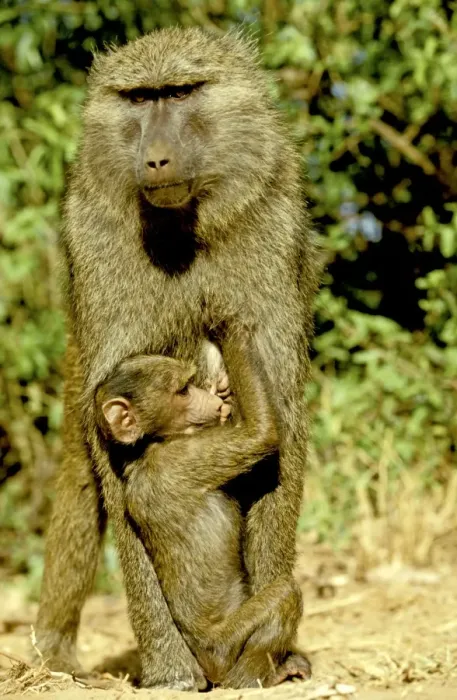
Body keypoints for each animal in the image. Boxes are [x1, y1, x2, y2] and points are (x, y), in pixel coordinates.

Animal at [95, 331, 311, 687]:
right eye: (183, 390)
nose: (212, 401)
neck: (149, 446)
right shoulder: (184, 458)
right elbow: (261, 435)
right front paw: (234, 330)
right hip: (224, 646)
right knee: (285, 595)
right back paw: (255, 679)